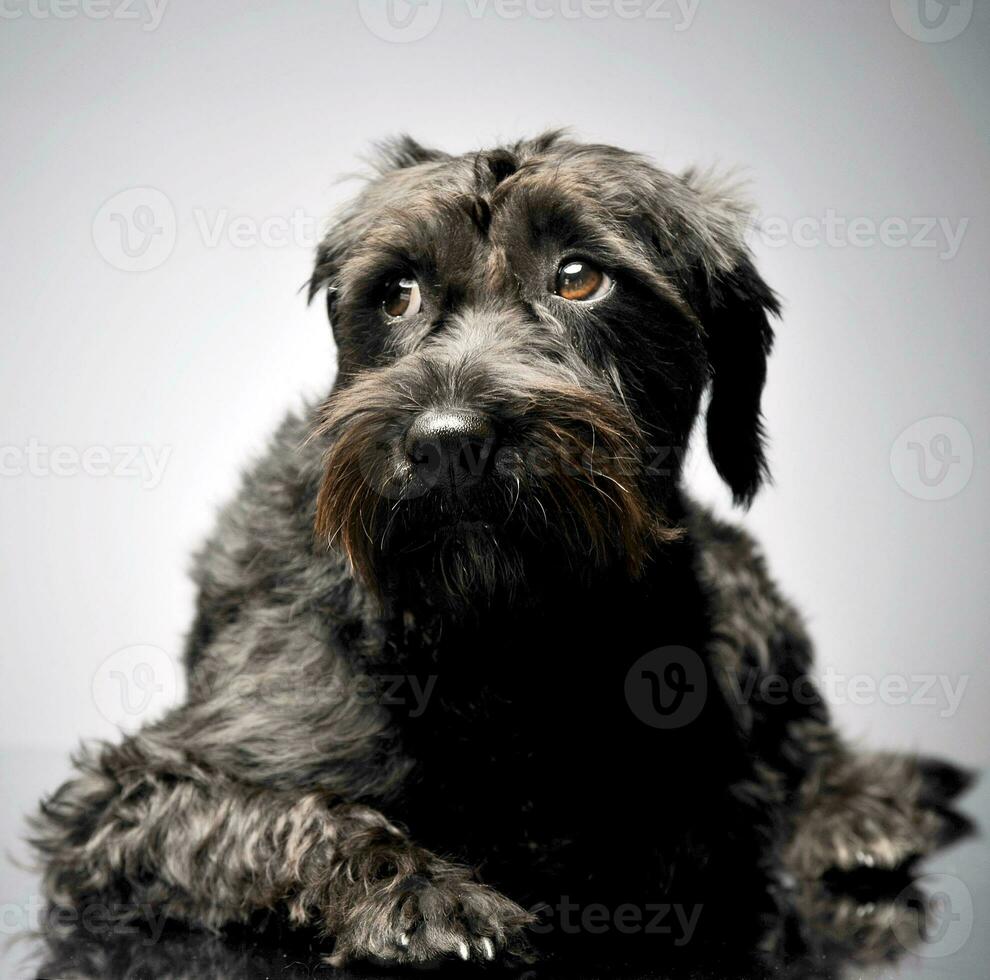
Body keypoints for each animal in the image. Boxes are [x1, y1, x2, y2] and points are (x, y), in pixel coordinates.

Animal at [33, 134, 976, 968]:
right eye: (398, 292)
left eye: (580, 277)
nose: (448, 442)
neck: (498, 636)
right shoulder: (129, 797)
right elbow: (291, 814)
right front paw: (419, 895)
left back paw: (855, 812)